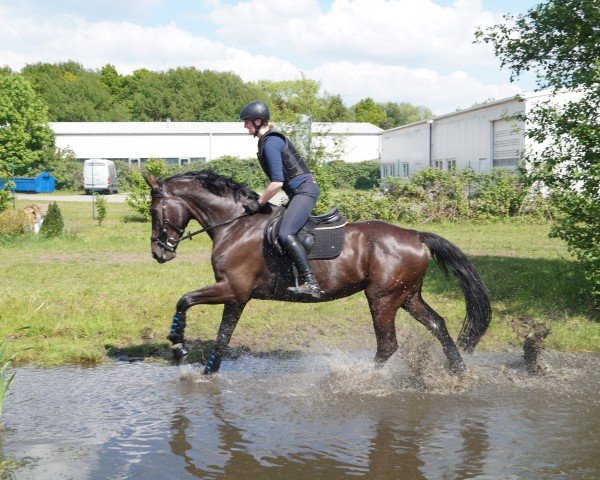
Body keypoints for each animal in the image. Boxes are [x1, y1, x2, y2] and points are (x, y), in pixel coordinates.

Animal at [146, 171, 492, 376]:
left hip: (382, 298)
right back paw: (458, 371)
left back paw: (365, 380)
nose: (159, 253)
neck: (235, 225)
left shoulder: (232, 289)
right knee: (437, 324)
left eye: (153, 211)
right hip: (407, 296)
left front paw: (179, 346)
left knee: (388, 344)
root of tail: (415, 235)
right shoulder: (236, 296)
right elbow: (219, 335)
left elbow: (187, 303)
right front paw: (203, 370)